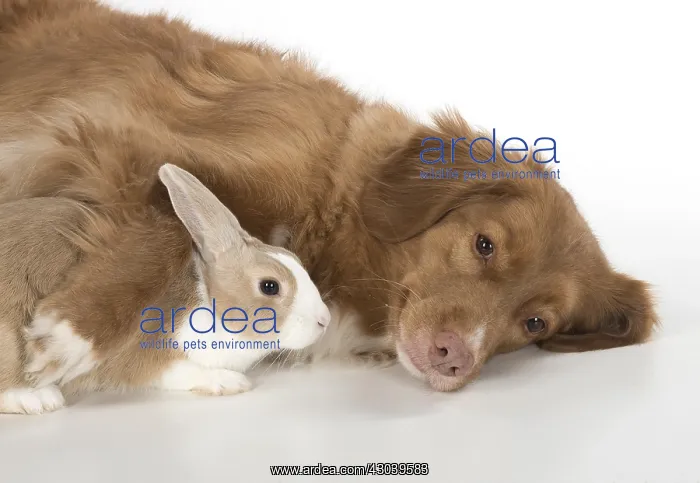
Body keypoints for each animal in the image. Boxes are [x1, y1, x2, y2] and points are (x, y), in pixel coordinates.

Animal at [0, 164, 331, 415]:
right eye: (269, 286)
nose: (324, 320)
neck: (208, 299)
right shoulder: (145, 356)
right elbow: (179, 371)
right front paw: (229, 382)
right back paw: (37, 399)